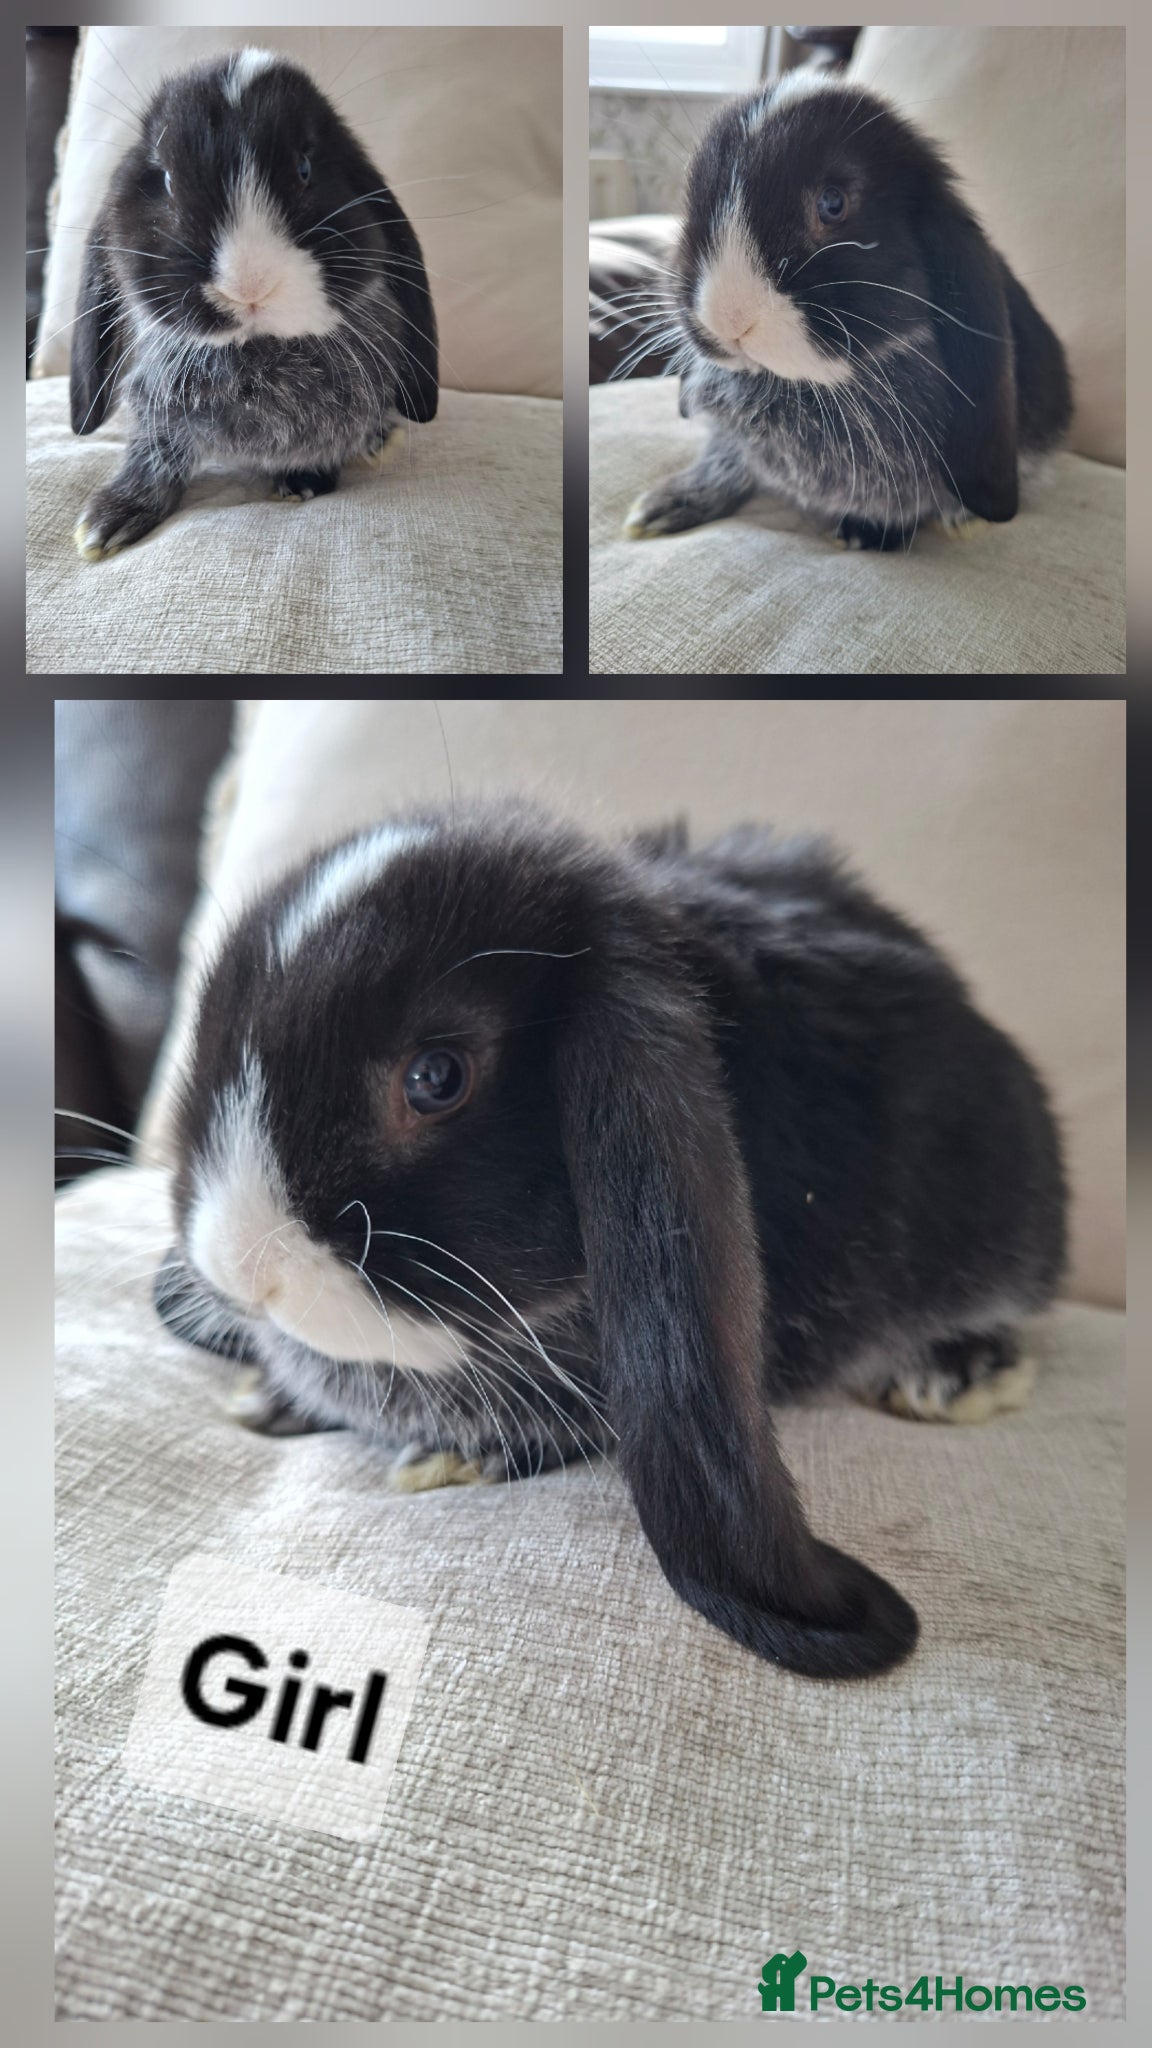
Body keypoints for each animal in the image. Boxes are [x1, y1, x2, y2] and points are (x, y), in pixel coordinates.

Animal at [69, 46, 438, 559]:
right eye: (165, 179)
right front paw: (108, 522)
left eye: (305, 169)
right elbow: (154, 456)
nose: (248, 286)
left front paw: (304, 482)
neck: (257, 355)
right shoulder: (157, 409)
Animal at [624, 74, 1072, 551]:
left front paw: (869, 532)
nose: (728, 318)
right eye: (691, 195)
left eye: (833, 204)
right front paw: (663, 507)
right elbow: (728, 462)